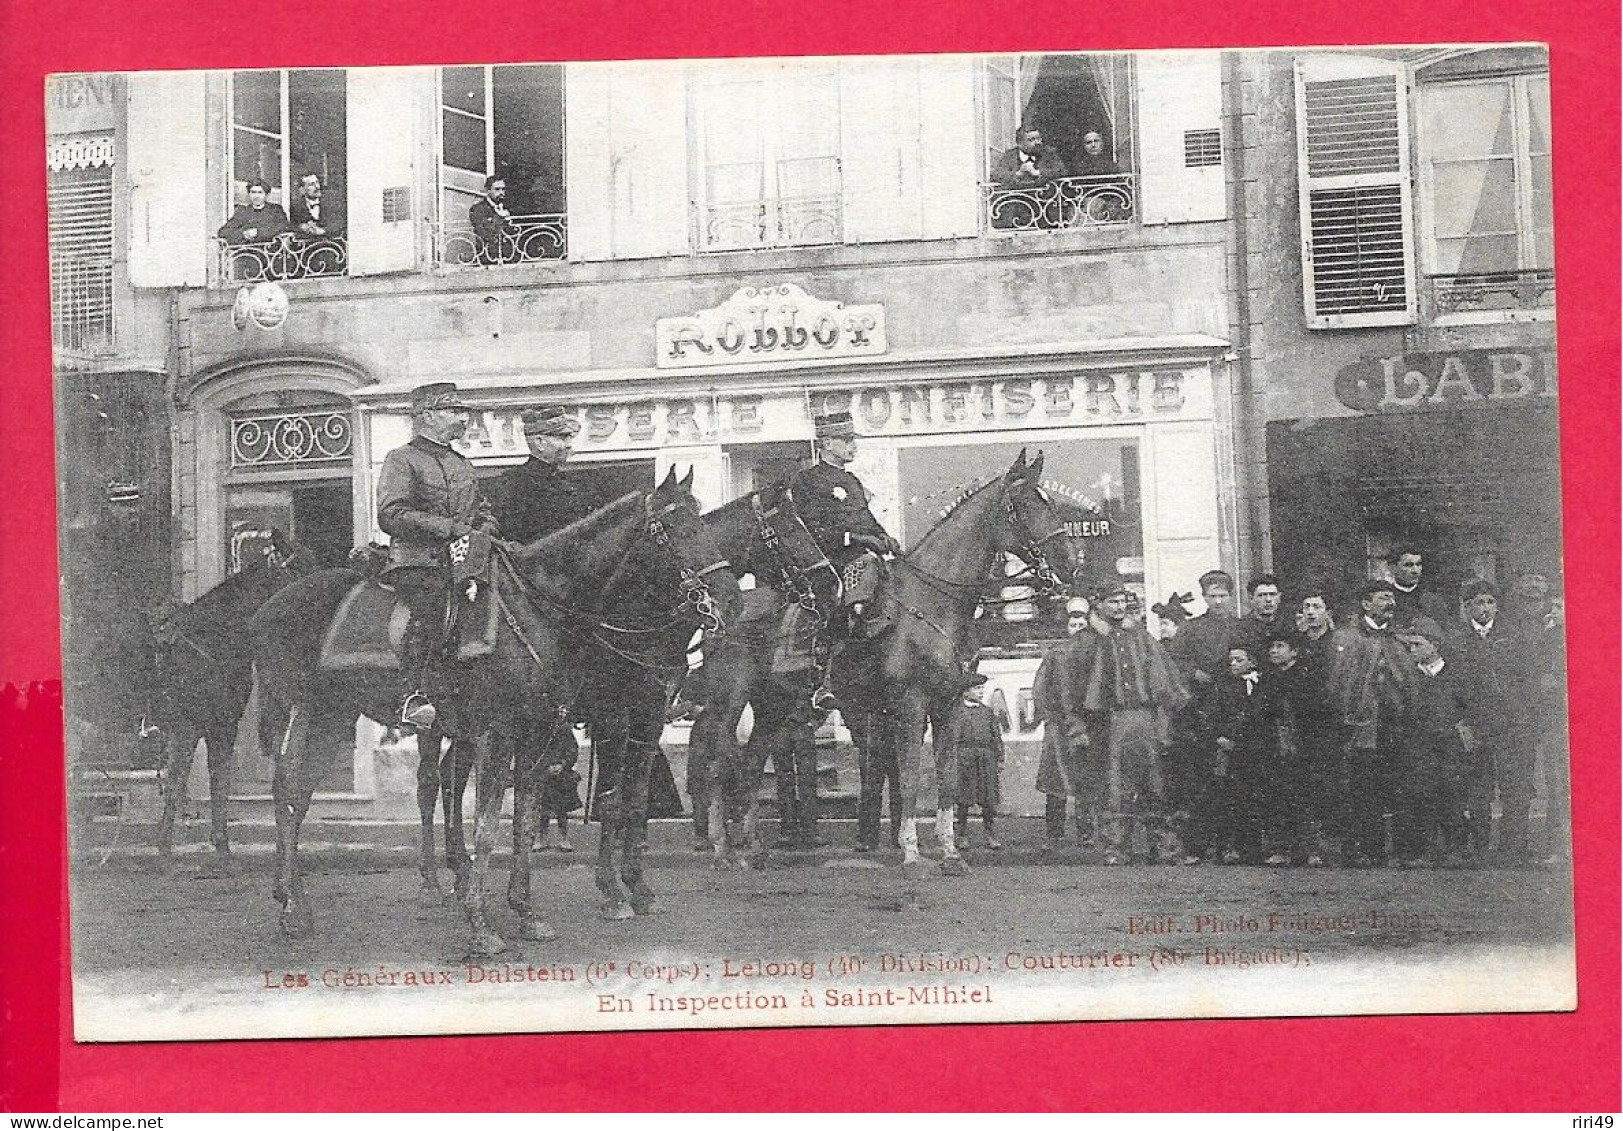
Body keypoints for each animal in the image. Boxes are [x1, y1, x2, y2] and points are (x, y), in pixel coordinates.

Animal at [150, 528, 311, 863]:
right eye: (297, 566)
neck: (213, 641)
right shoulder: (189, 727)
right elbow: (178, 782)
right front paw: (165, 850)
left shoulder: (221, 725)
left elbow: (218, 780)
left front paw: (221, 846)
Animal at [248, 464, 743, 947]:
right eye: (675, 529)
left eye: (703, 522)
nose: (731, 600)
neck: (543, 610)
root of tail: (269, 607)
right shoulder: (518, 731)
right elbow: (492, 825)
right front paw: (483, 924)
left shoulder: (544, 731)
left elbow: (528, 817)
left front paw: (526, 912)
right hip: (300, 708)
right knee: (291, 791)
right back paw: (296, 908)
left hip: (334, 716)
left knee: (302, 795)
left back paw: (296, 900)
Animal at [697, 451, 1077, 876]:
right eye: (1023, 506)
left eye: (1050, 502)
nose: (1070, 562)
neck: (932, 602)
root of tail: (719, 613)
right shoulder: (910, 704)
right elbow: (909, 775)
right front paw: (912, 852)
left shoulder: (948, 704)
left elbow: (946, 778)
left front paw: (950, 852)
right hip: (730, 701)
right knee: (715, 763)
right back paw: (723, 850)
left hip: (773, 708)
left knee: (748, 765)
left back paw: (753, 849)